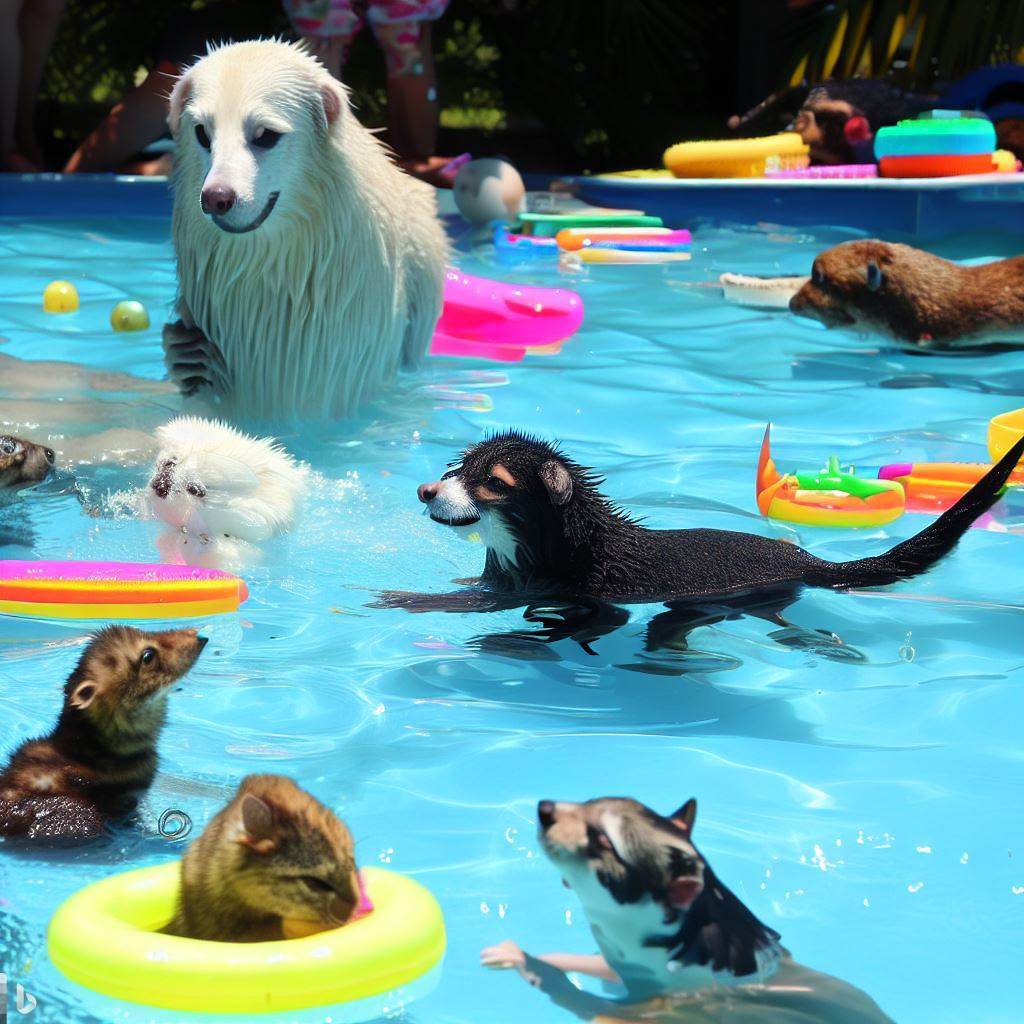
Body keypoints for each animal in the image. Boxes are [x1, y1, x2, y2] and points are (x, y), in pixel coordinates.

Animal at [479, 798, 888, 1024]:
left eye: (603, 841)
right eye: (588, 803)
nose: (545, 808)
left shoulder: (653, 1005)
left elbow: (572, 994)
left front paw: (524, 960)